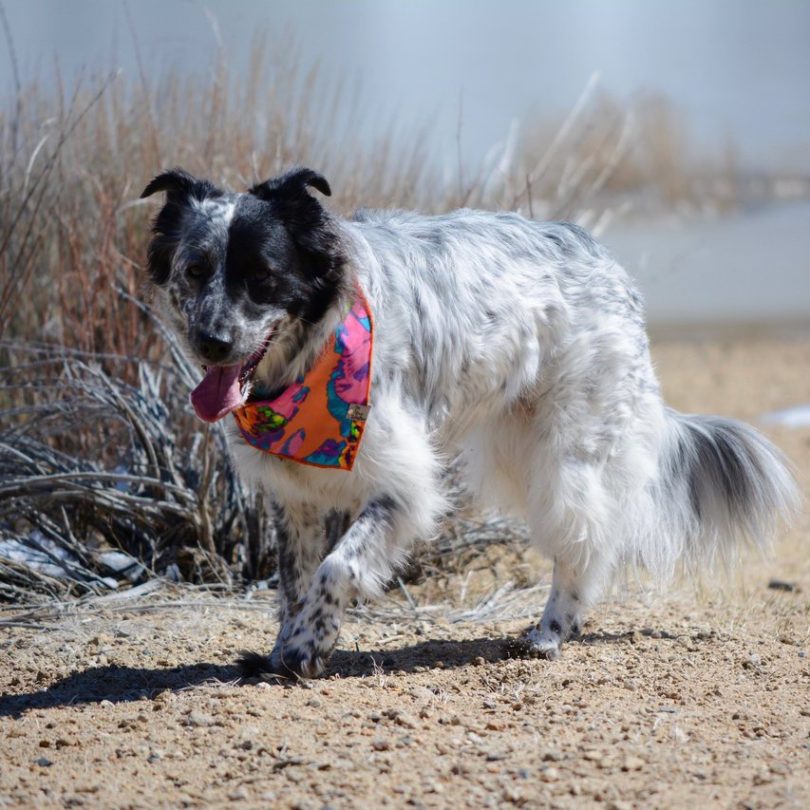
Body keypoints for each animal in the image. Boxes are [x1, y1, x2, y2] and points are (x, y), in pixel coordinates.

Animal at [140, 167, 796, 680]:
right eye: (195, 270)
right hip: (515, 446)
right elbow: (294, 579)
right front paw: (287, 644)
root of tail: (604, 261)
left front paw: (309, 645)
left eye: (264, 275)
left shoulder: (402, 485)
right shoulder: (293, 495)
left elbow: (338, 566)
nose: (211, 341)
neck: (310, 366)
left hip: (563, 453)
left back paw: (552, 631)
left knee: (586, 543)